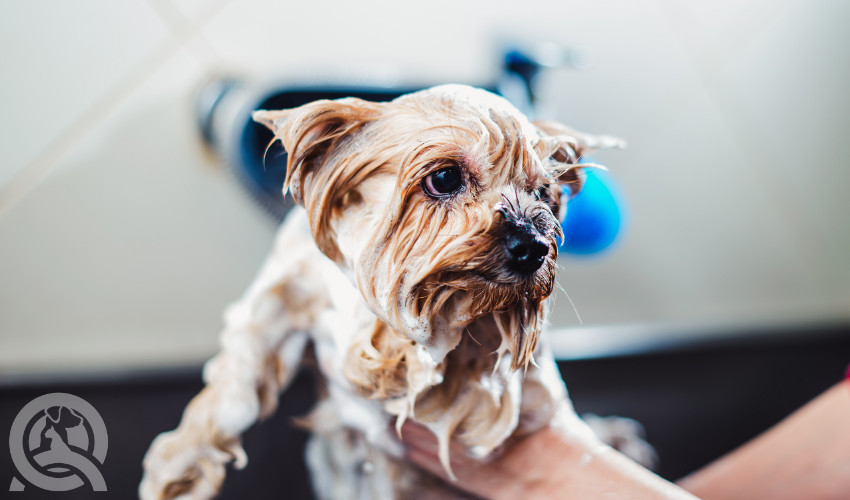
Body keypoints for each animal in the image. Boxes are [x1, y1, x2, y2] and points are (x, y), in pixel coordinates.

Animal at [139, 84, 644, 498]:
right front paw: (180, 464)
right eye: (445, 177)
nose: (533, 246)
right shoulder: (284, 291)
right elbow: (237, 387)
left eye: (544, 195)